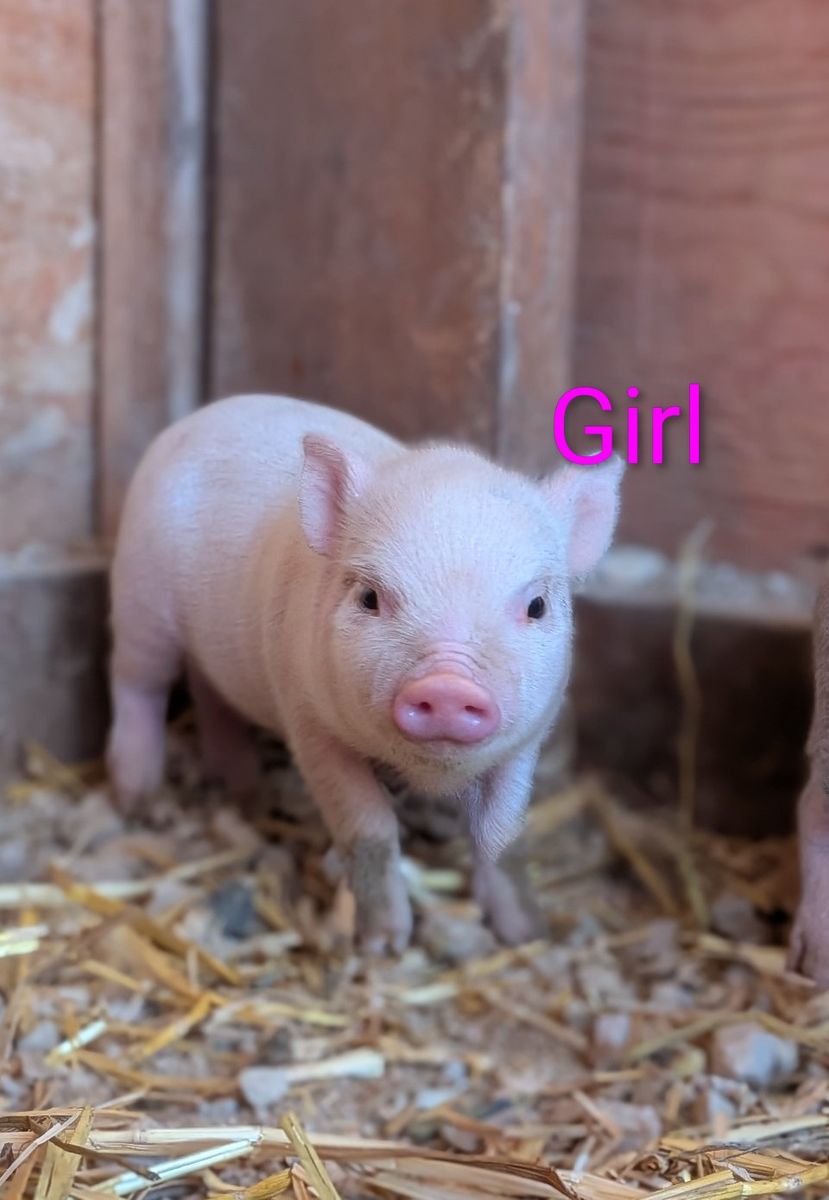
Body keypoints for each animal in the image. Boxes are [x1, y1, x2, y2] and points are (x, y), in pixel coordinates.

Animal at [108, 394, 624, 952]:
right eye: (370, 597)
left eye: (536, 606)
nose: (447, 687)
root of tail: (198, 417)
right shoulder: (308, 721)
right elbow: (367, 828)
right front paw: (384, 944)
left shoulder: (526, 741)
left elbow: (503, 835)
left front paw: (526, 934)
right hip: (140, 594)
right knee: (138, 685)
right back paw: (139, 801)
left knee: (211, 696)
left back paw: (245, 792)